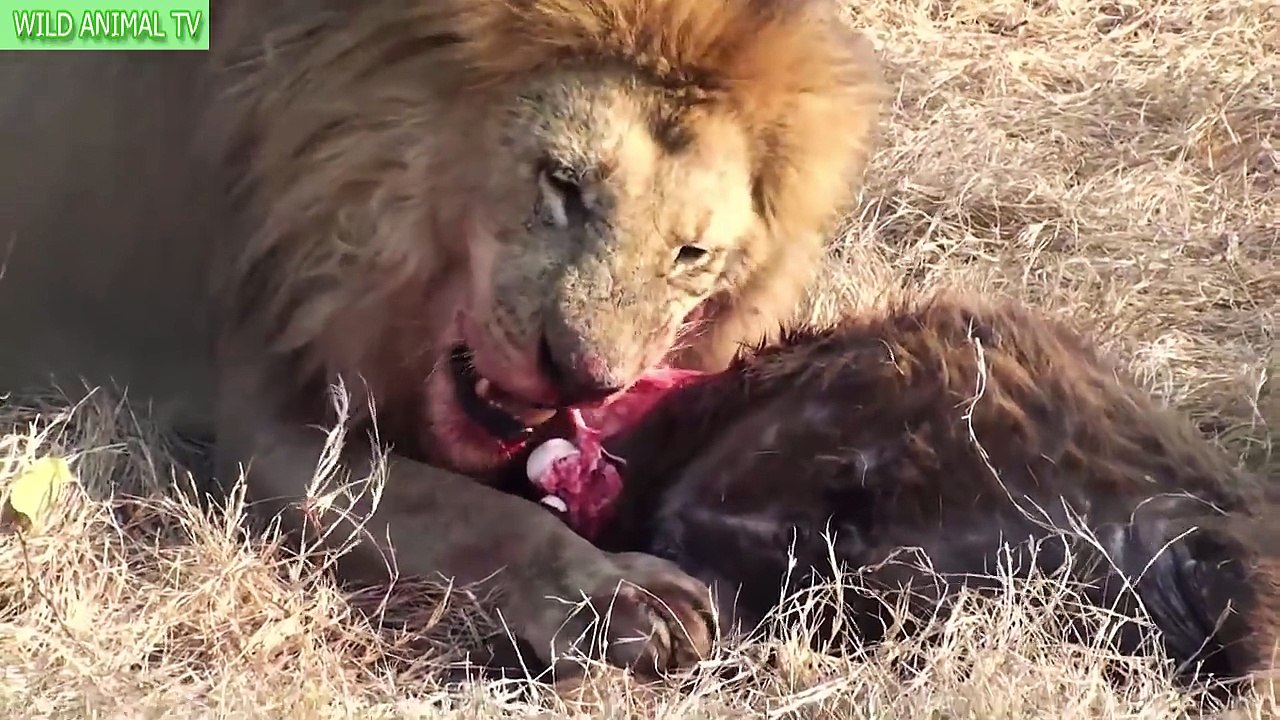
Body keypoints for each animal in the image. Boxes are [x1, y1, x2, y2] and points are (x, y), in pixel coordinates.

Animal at [0, 0, 884, 677]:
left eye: (691, 254)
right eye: (563, 185)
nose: (586, 379)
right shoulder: (266, 429)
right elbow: (476, 515)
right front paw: (616, 598)